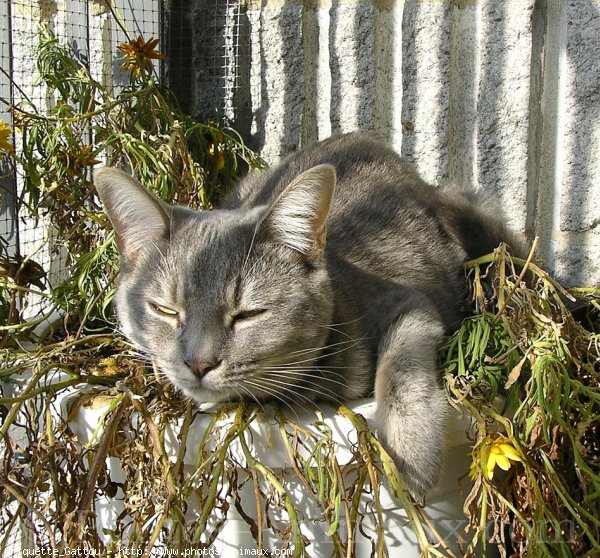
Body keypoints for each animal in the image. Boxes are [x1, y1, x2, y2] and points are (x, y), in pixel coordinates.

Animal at [94, 132, 520, 504]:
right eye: (165, 310)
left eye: (248, 314)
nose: (197, 363)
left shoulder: (408, 302)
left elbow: (402, 366)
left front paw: (412, 452)